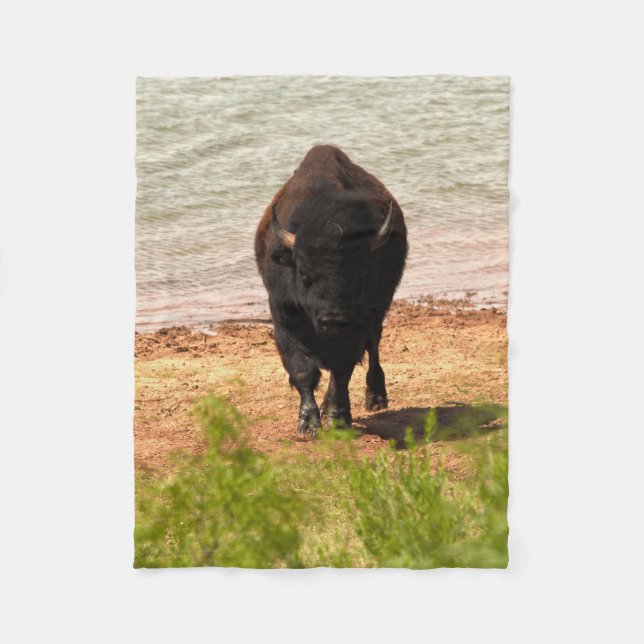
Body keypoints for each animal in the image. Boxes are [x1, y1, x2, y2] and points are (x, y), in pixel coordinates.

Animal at [255, 145, 407, 437]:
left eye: (360, 272)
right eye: (304, 274)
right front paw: (308, 424)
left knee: (373, 349)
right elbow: (304, 371)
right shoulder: (285, 320)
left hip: (377, 315)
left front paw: (337, 418)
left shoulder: (357, 326)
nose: (333, 318)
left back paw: (375, 397)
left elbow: (342, 369)